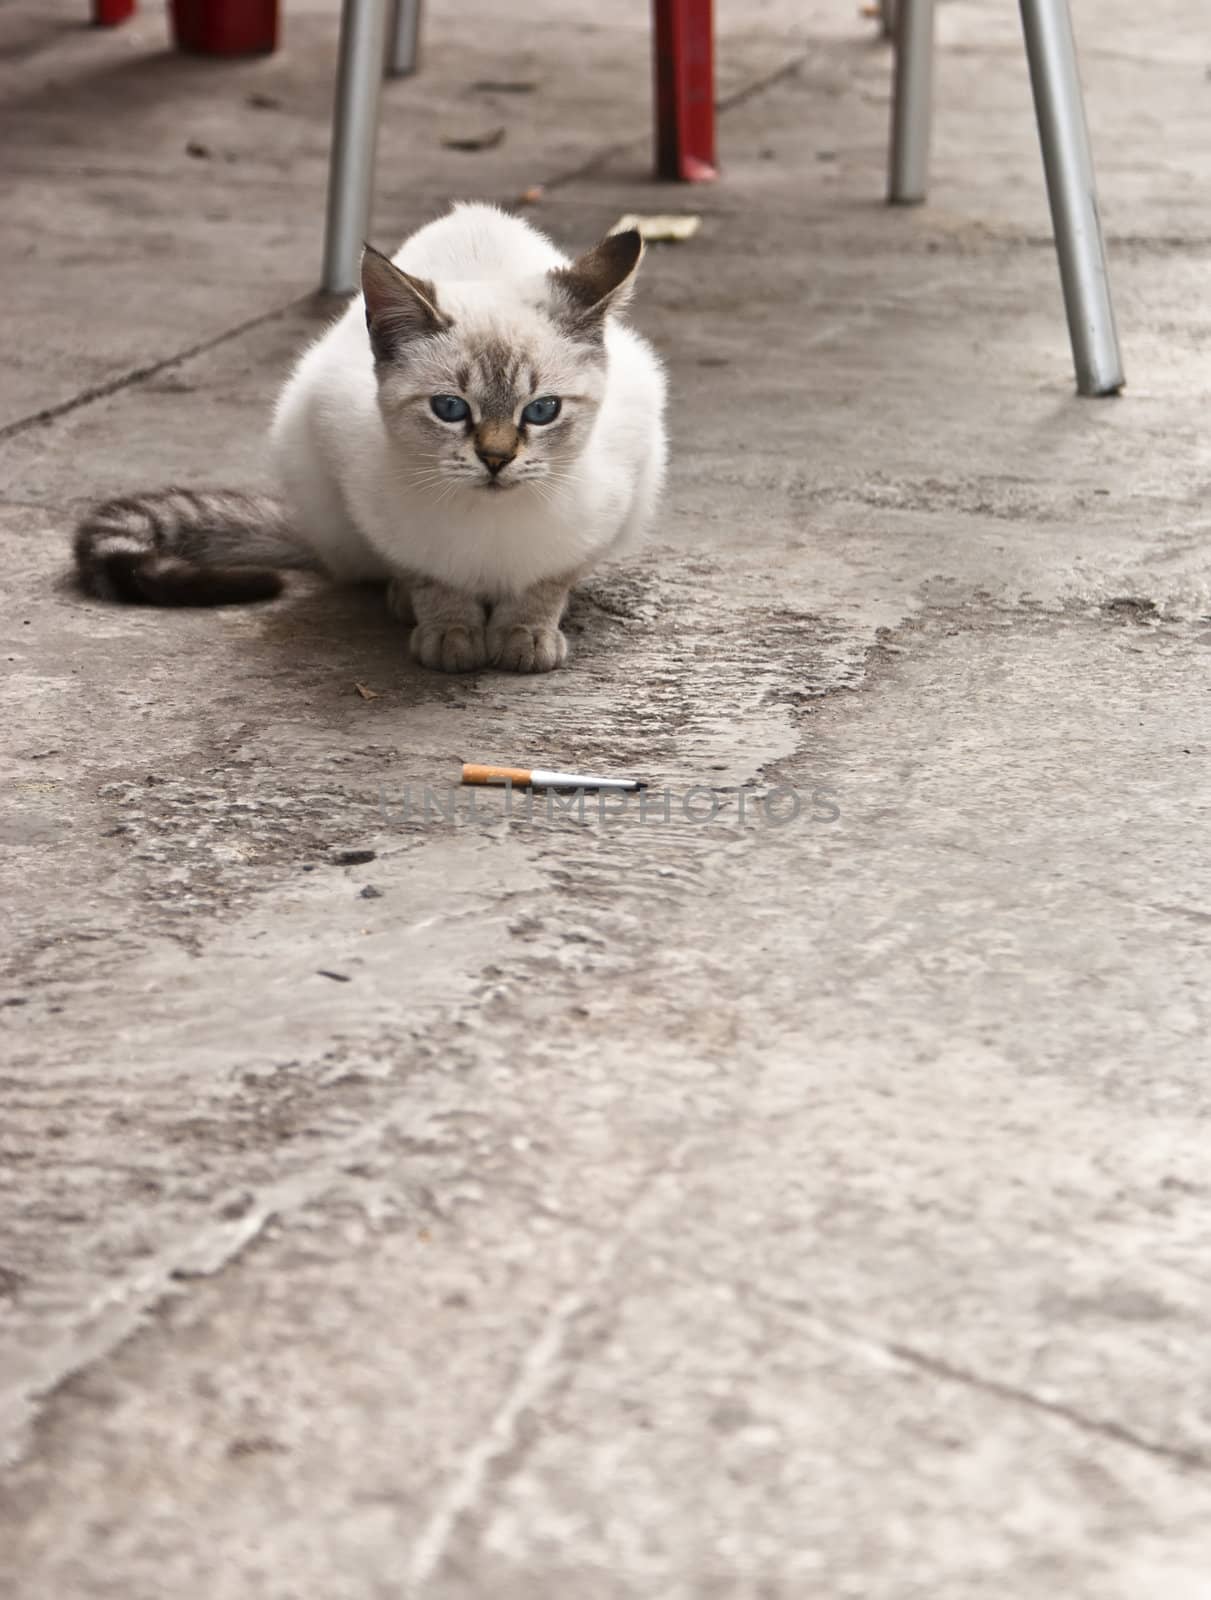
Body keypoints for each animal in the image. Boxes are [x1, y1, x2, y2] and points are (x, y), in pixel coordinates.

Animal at [74, 203, 665, 672]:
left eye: (542, 411)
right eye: (450, 408)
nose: (496, 459)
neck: (489, 525)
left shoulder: (613, 498)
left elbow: (547, 583)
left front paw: (526, 633)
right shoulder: (364, 493)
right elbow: (429, 578)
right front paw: (450, 631)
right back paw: (403, 603)